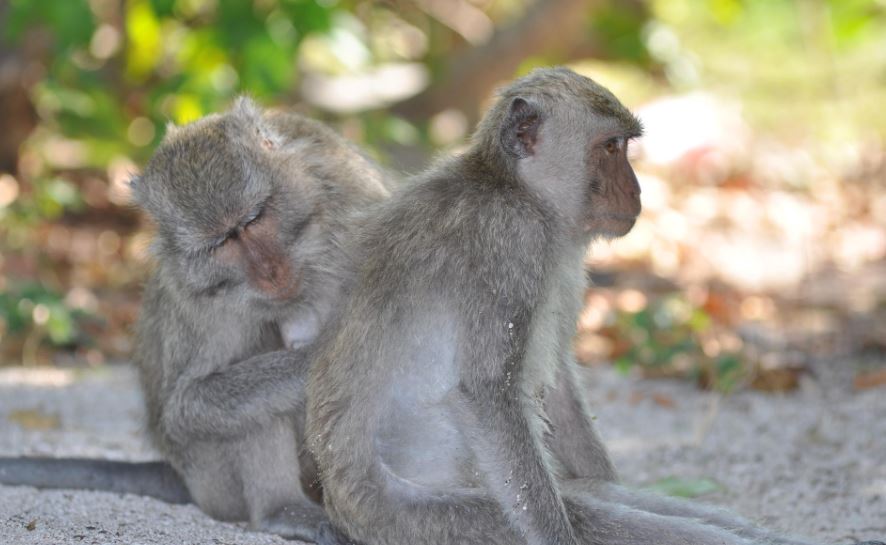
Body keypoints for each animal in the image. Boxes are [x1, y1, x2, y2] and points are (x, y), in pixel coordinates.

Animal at [0, 98, 389, 543]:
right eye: (221, 243)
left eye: (253, 219)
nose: (270, 272)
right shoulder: (198, 299)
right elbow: (185, 406)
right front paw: (322, 358)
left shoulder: (355, 199)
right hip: (211, 477)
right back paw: (280, 509)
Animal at [305, 67, 885, 545]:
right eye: (610, 147)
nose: (636, 191)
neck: (515, 189)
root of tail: (343, 507)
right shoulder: (508, 242)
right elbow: (489, 392)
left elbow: (557, 384)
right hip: (427, 520)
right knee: (590, 517)